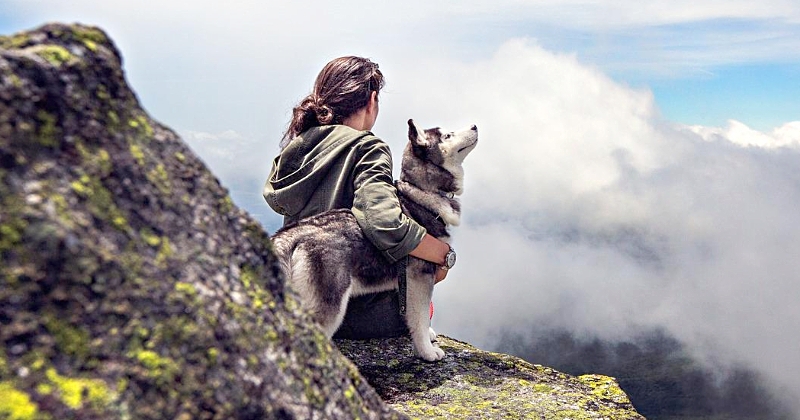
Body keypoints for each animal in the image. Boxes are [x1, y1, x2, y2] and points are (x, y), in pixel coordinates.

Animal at [272, 119, 478, 360]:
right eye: (447, 135)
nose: (475, 126)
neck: (420, 193)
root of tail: (292, 234)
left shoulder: (407, 284)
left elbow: (415, 315)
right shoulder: (420, 277)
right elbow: (419, 317)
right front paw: (426, 351)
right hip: (329, 304)